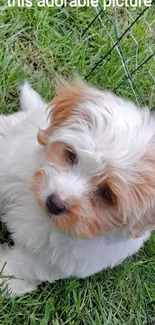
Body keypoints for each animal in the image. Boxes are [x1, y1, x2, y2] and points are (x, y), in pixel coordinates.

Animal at [0, 79, 154, 296]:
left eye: (108, 194)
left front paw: (5, 279)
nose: (54, 203)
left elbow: (25, 265)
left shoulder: (58, 259)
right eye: (71, 155)